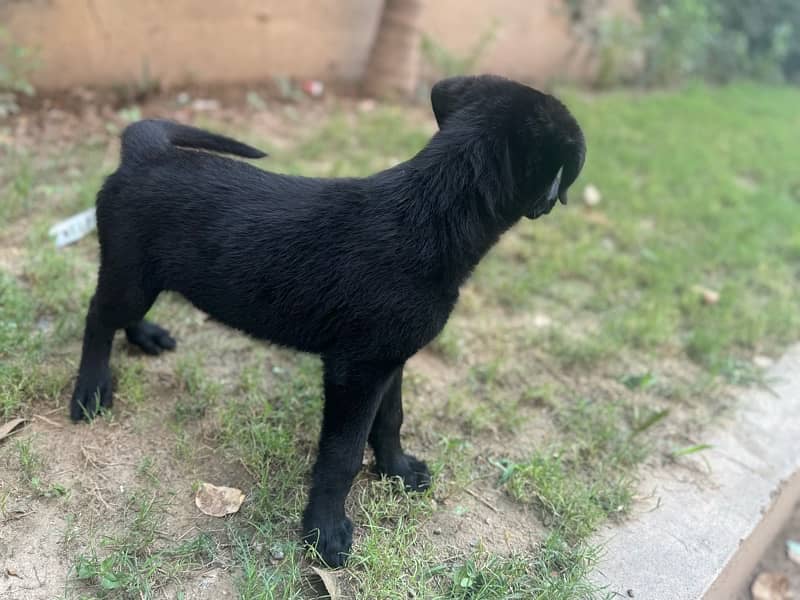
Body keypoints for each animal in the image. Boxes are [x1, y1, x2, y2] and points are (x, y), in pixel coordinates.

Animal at [72, 75, 584, 568]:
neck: (434, 212)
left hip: (143, 278)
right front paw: (325, 532)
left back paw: (147, 337)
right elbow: (342, 456)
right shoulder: (354, 373)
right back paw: (89, 391)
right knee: (97, 320)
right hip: (130, 277)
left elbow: (391, 420)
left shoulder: (389, 362)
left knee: (122, 317)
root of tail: (147, 152)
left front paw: (398, 470)